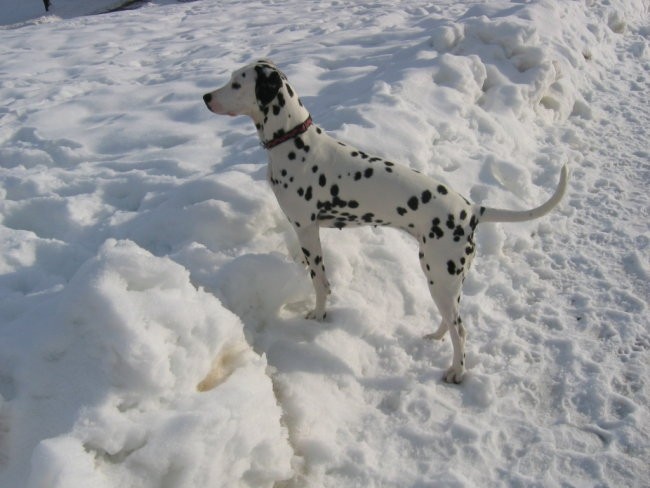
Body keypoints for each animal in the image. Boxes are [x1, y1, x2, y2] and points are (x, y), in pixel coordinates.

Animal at [200, 60, 564, 382]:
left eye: (237, 83)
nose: (204, 97)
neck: (294, 142)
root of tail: (472, 210)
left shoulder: (306, 228)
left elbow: (320, 281)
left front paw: (318, 315)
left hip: (440, 275)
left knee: (461, 329)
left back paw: (457, 372)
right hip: (448, 280)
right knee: (451, 320)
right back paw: (436, 336)